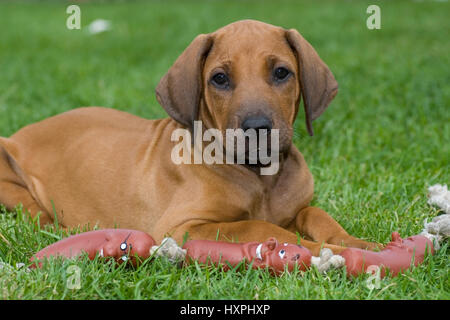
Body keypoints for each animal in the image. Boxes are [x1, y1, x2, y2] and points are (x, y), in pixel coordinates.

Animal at [0, 20, 380, 255]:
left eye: (281, 72)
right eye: (220, 78)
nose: (257, 127)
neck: (261, 178)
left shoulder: (297, 208)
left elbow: (316, 214)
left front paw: (358, 244)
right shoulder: (183, 227)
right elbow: (255, 225)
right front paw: (321, 250)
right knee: (40, 217)